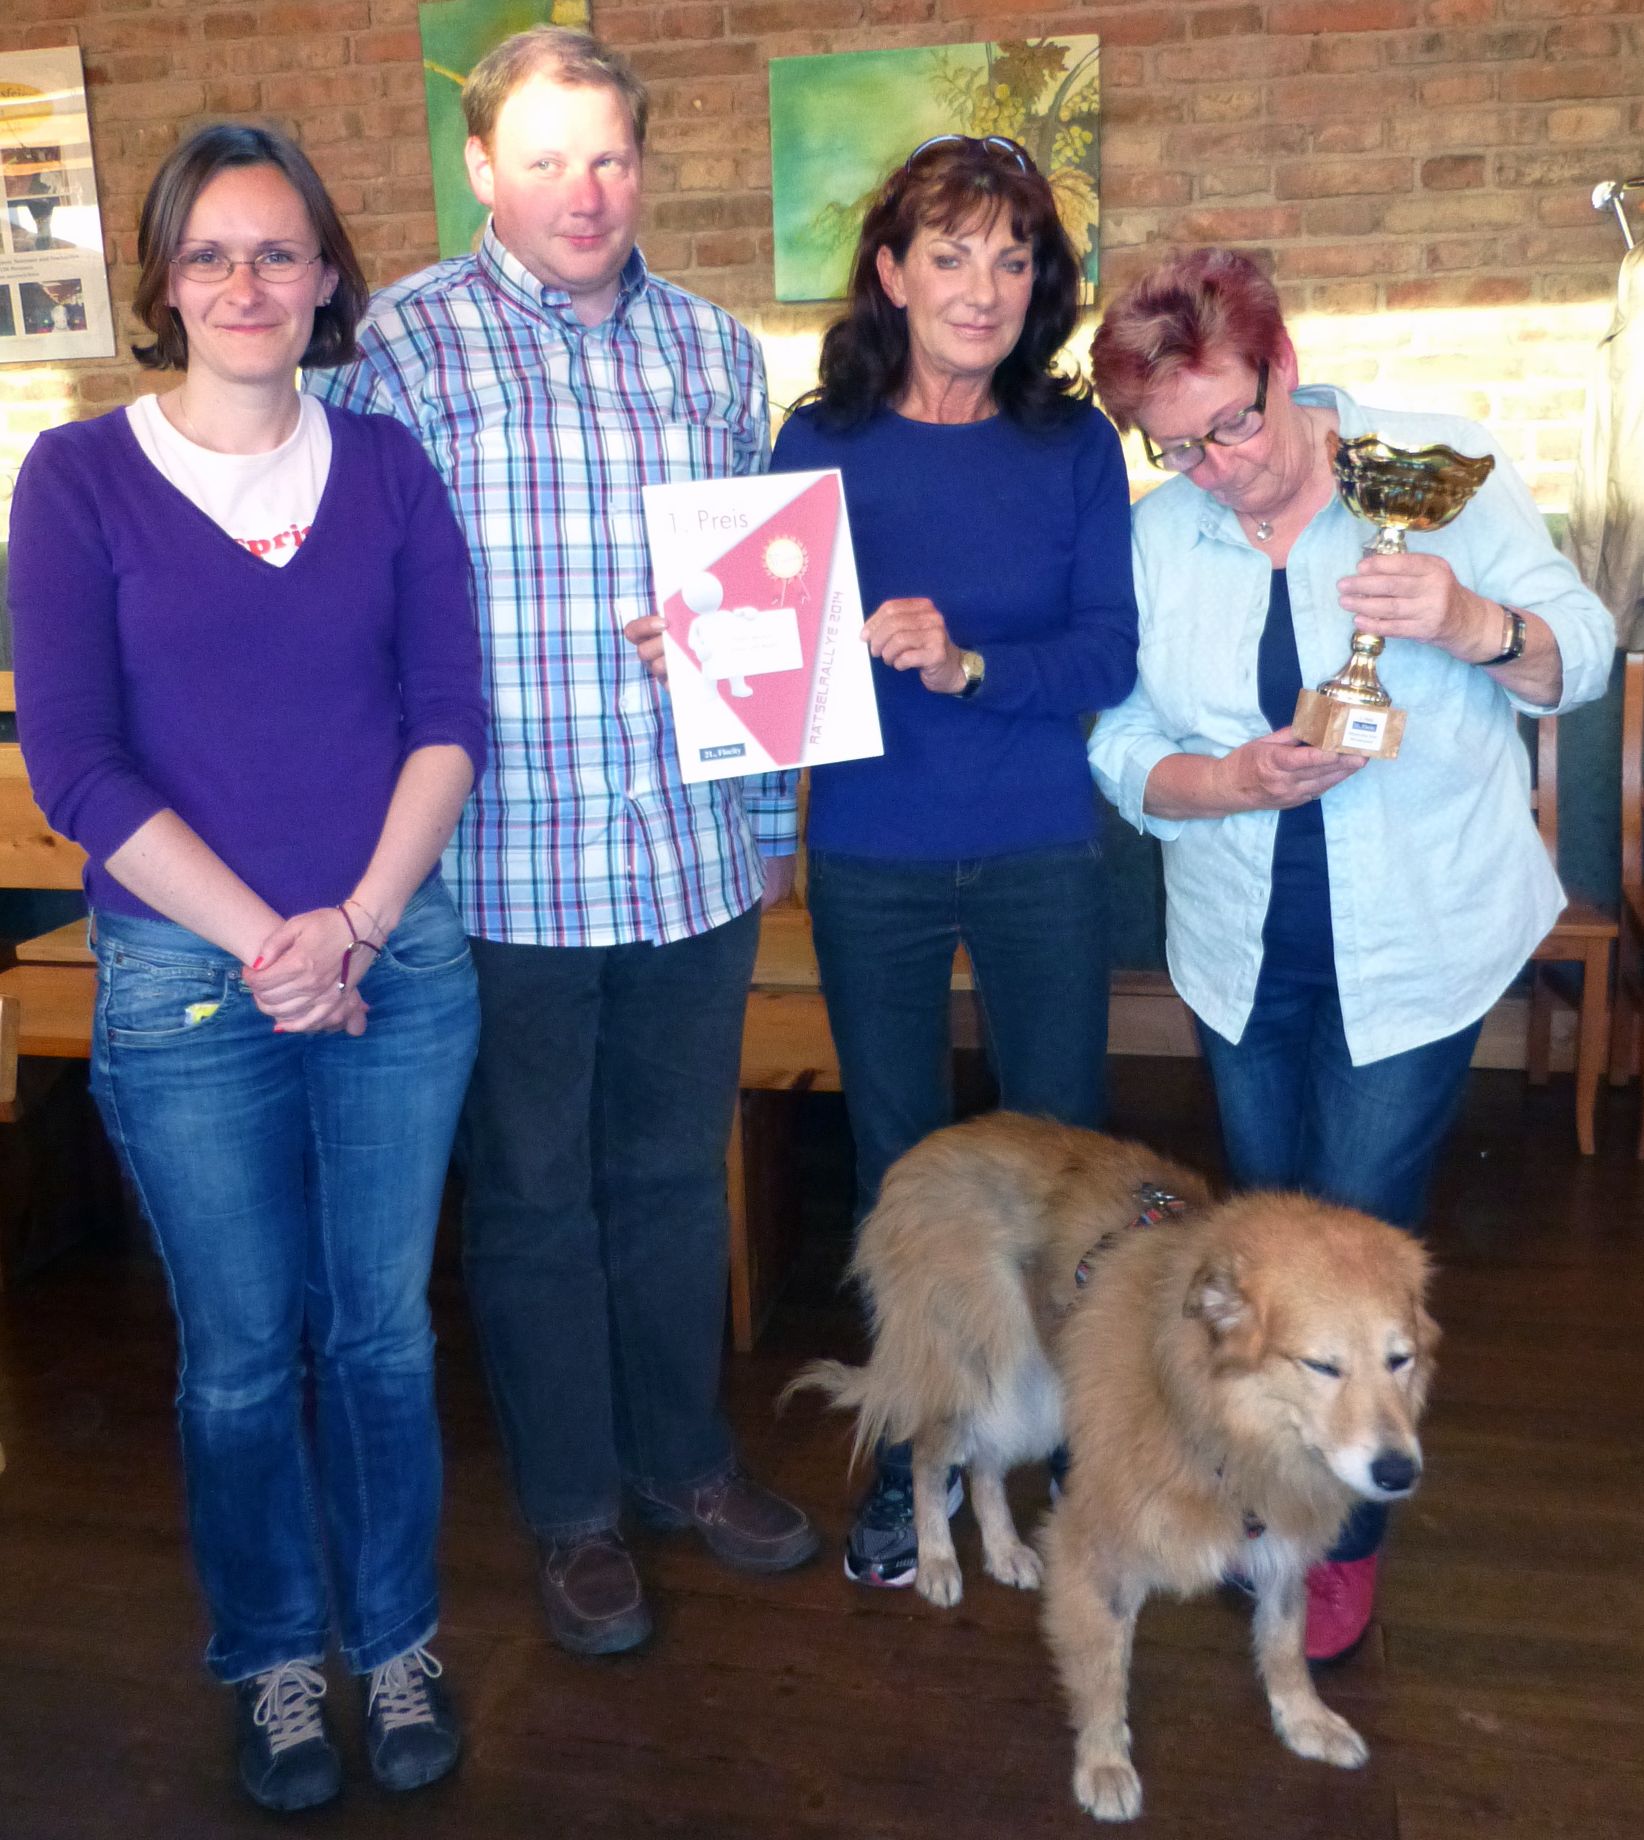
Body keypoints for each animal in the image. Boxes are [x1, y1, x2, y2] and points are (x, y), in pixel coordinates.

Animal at [787, 1111, 1212, 1607]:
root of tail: (916, 1160)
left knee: (986, 1464)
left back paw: (1005, 1550)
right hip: (989, 1358)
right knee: (930, 1458)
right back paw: (937, 1561)